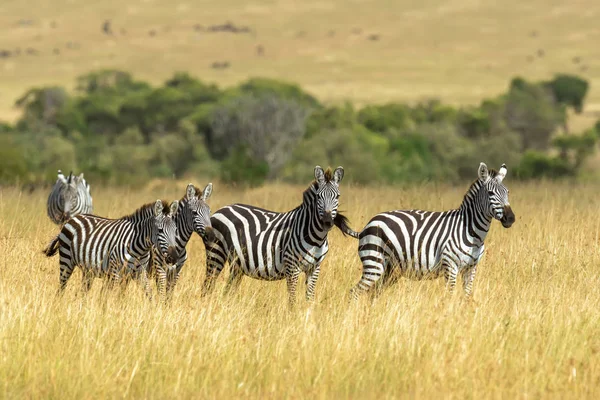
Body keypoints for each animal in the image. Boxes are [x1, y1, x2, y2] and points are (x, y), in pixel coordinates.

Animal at [42, 198, 180, 296]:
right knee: (61, 288)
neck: (138, 248)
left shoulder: (139, 273)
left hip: (88, 270)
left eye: (175, 230)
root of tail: (73, 218)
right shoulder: (115, 272)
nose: (173, 257)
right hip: (66, 260)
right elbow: (112, 296)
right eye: (160, 230)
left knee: (82, 292)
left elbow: (149, 293)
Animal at [204, 166, 358, 306]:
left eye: (337, 196)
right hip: (216, 253)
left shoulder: (314, 268)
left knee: (228, 290)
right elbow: (292, 299)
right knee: (208, 285)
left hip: (237, 264)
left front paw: (308, 316)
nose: (327, 222)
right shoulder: (292, 267)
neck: (317, 239)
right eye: (319, 197)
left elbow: (309, 298)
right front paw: (293, 317)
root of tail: (223, 208)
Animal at [352, 163, 516, 300]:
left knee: (373, 293)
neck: (473, 233)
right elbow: (450, 296)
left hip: (390, 269)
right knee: (354, 292)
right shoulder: (450, 265)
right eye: (490, 193)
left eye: (507, 192)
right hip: (374, 263)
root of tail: (368, 225)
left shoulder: (471, 268)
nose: (510, 219)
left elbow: (467, 296)